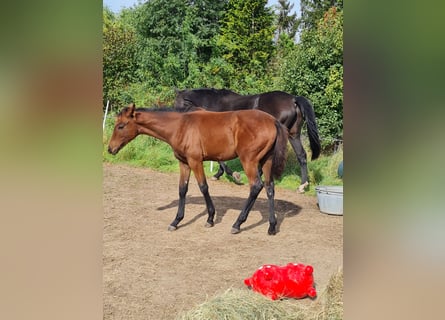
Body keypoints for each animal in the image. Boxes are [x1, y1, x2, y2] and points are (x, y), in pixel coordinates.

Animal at [108, 104, 288, 234]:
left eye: (121, 126)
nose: (110, 149)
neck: (180, 126)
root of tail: (273, 121)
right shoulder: (184, 163)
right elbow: (182, 189)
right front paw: (176, 221)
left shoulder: (195, 161)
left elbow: (203, 187)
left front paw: (210, 218)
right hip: (266, 161)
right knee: (269, 188)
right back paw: (272, 226)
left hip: (249, 161)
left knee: (256, 186)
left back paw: (237, 224)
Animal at [173, 89, 320, 192]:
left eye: (178, 104)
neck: (212, 103)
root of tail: (293, 99)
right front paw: (219, 174)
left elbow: (221, 159)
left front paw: (234, 176)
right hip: (293, 135)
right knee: (301, 155)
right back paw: (302, 185)